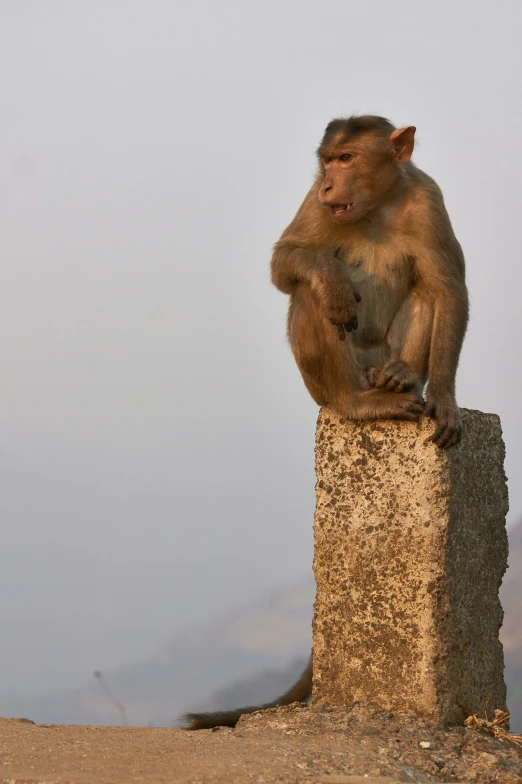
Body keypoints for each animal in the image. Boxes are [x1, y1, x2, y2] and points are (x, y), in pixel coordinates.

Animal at [184, 115, 468, 728]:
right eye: (327, 161)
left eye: (347, 157)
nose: (331, 183)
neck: (377, 206)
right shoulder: (316, 206)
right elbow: (290, 260)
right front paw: (332, 279)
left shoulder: (428, 201)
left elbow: (448, 290)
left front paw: (447, 397)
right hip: (327, 383)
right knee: (306, 298)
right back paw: (359, 401)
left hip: (382, 356)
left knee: (424, 289)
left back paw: (403, 378)